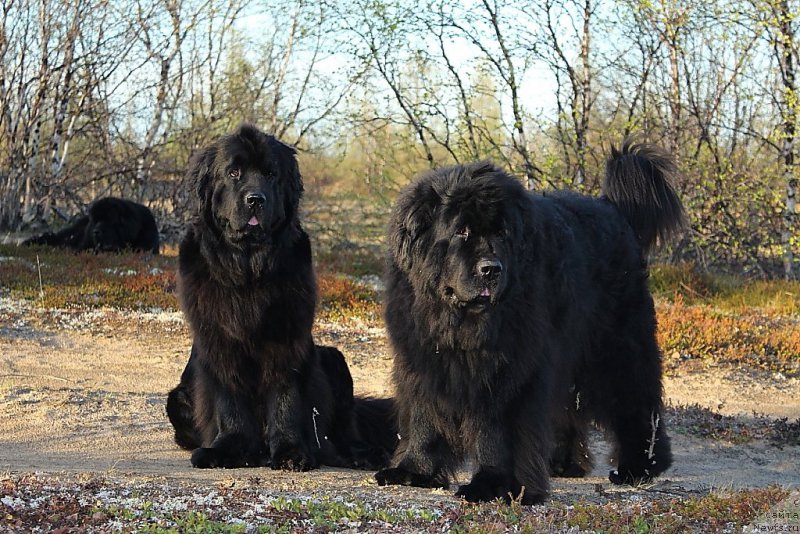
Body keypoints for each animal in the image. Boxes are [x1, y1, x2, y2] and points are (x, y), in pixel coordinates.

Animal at [166, 123, 396, 472]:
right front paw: (228, 449)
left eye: (271, 174)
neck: (248, 266)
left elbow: (286, 398)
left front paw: (290, 452)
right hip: (177, 397)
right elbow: (230, 399)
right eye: (233, 172)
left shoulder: (287, 338)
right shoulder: (220, 342)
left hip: (335, 360)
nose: (255, 199)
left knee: (342, 432)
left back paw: (364, 454)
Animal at [376, 139, 680, 506]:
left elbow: (496, 433)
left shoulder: (508, 371)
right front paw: (413, 470)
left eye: (502, 233)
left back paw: (641, 466)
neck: (459, 323)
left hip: (616, 346)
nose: (491, 269)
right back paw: (562, 463)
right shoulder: (423, 362)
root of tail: (613, 208)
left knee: (636, 400)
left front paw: (495, 485)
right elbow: (424, 418)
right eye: (461, 232)